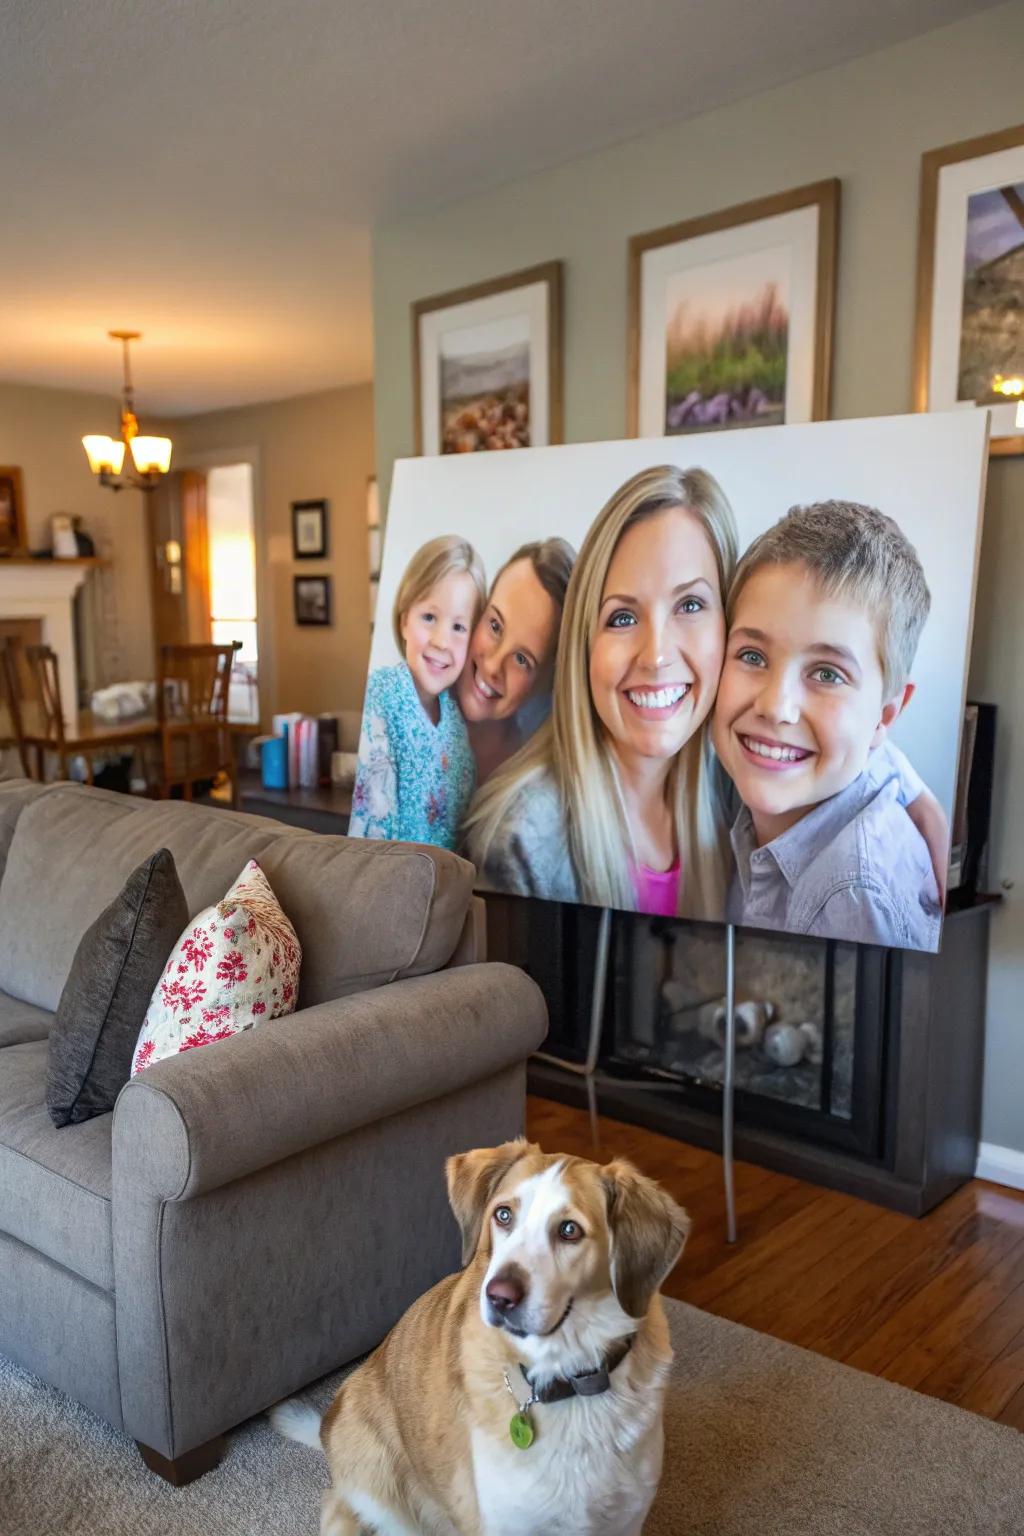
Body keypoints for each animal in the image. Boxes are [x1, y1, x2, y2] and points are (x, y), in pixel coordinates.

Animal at [271, 1136, 687, 1529]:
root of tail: (326, 1427)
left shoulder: (626, 1519)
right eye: (503, 1215)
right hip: (381, 1487)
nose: (500, 1296)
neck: (568, 1377)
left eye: (569, 1230)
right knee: (339, 1504)